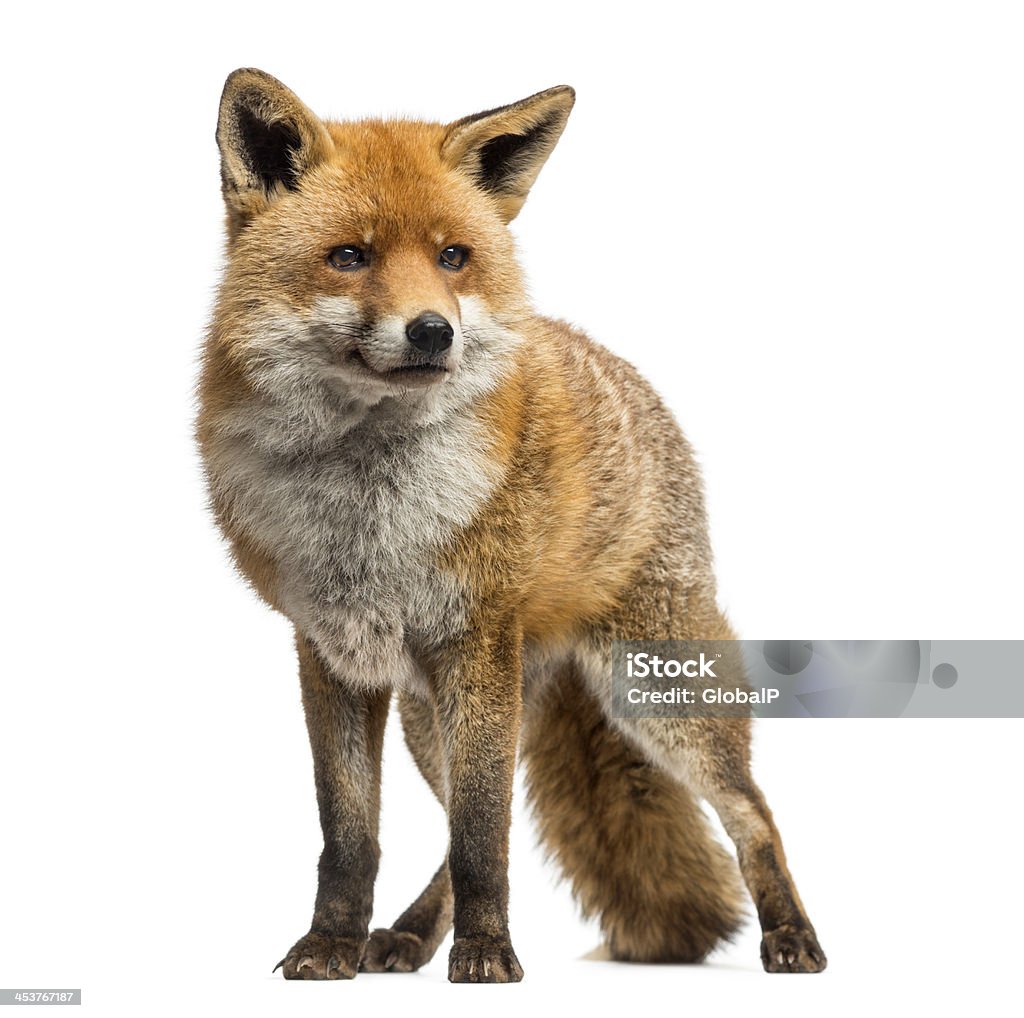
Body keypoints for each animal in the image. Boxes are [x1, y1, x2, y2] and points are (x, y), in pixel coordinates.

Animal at [197, 67, 823, 979]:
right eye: (350, 257)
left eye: (453, 257)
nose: (433, 331)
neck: (368, 512)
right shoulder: (333, 655)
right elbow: (351, 837)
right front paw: (330, 946)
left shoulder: (476, 644)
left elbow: (482, 836)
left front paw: (488, 955)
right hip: (435, 718)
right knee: (460, 830)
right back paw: (406, 936)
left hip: (652, 695)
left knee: (753, 812)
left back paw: (792, 936)